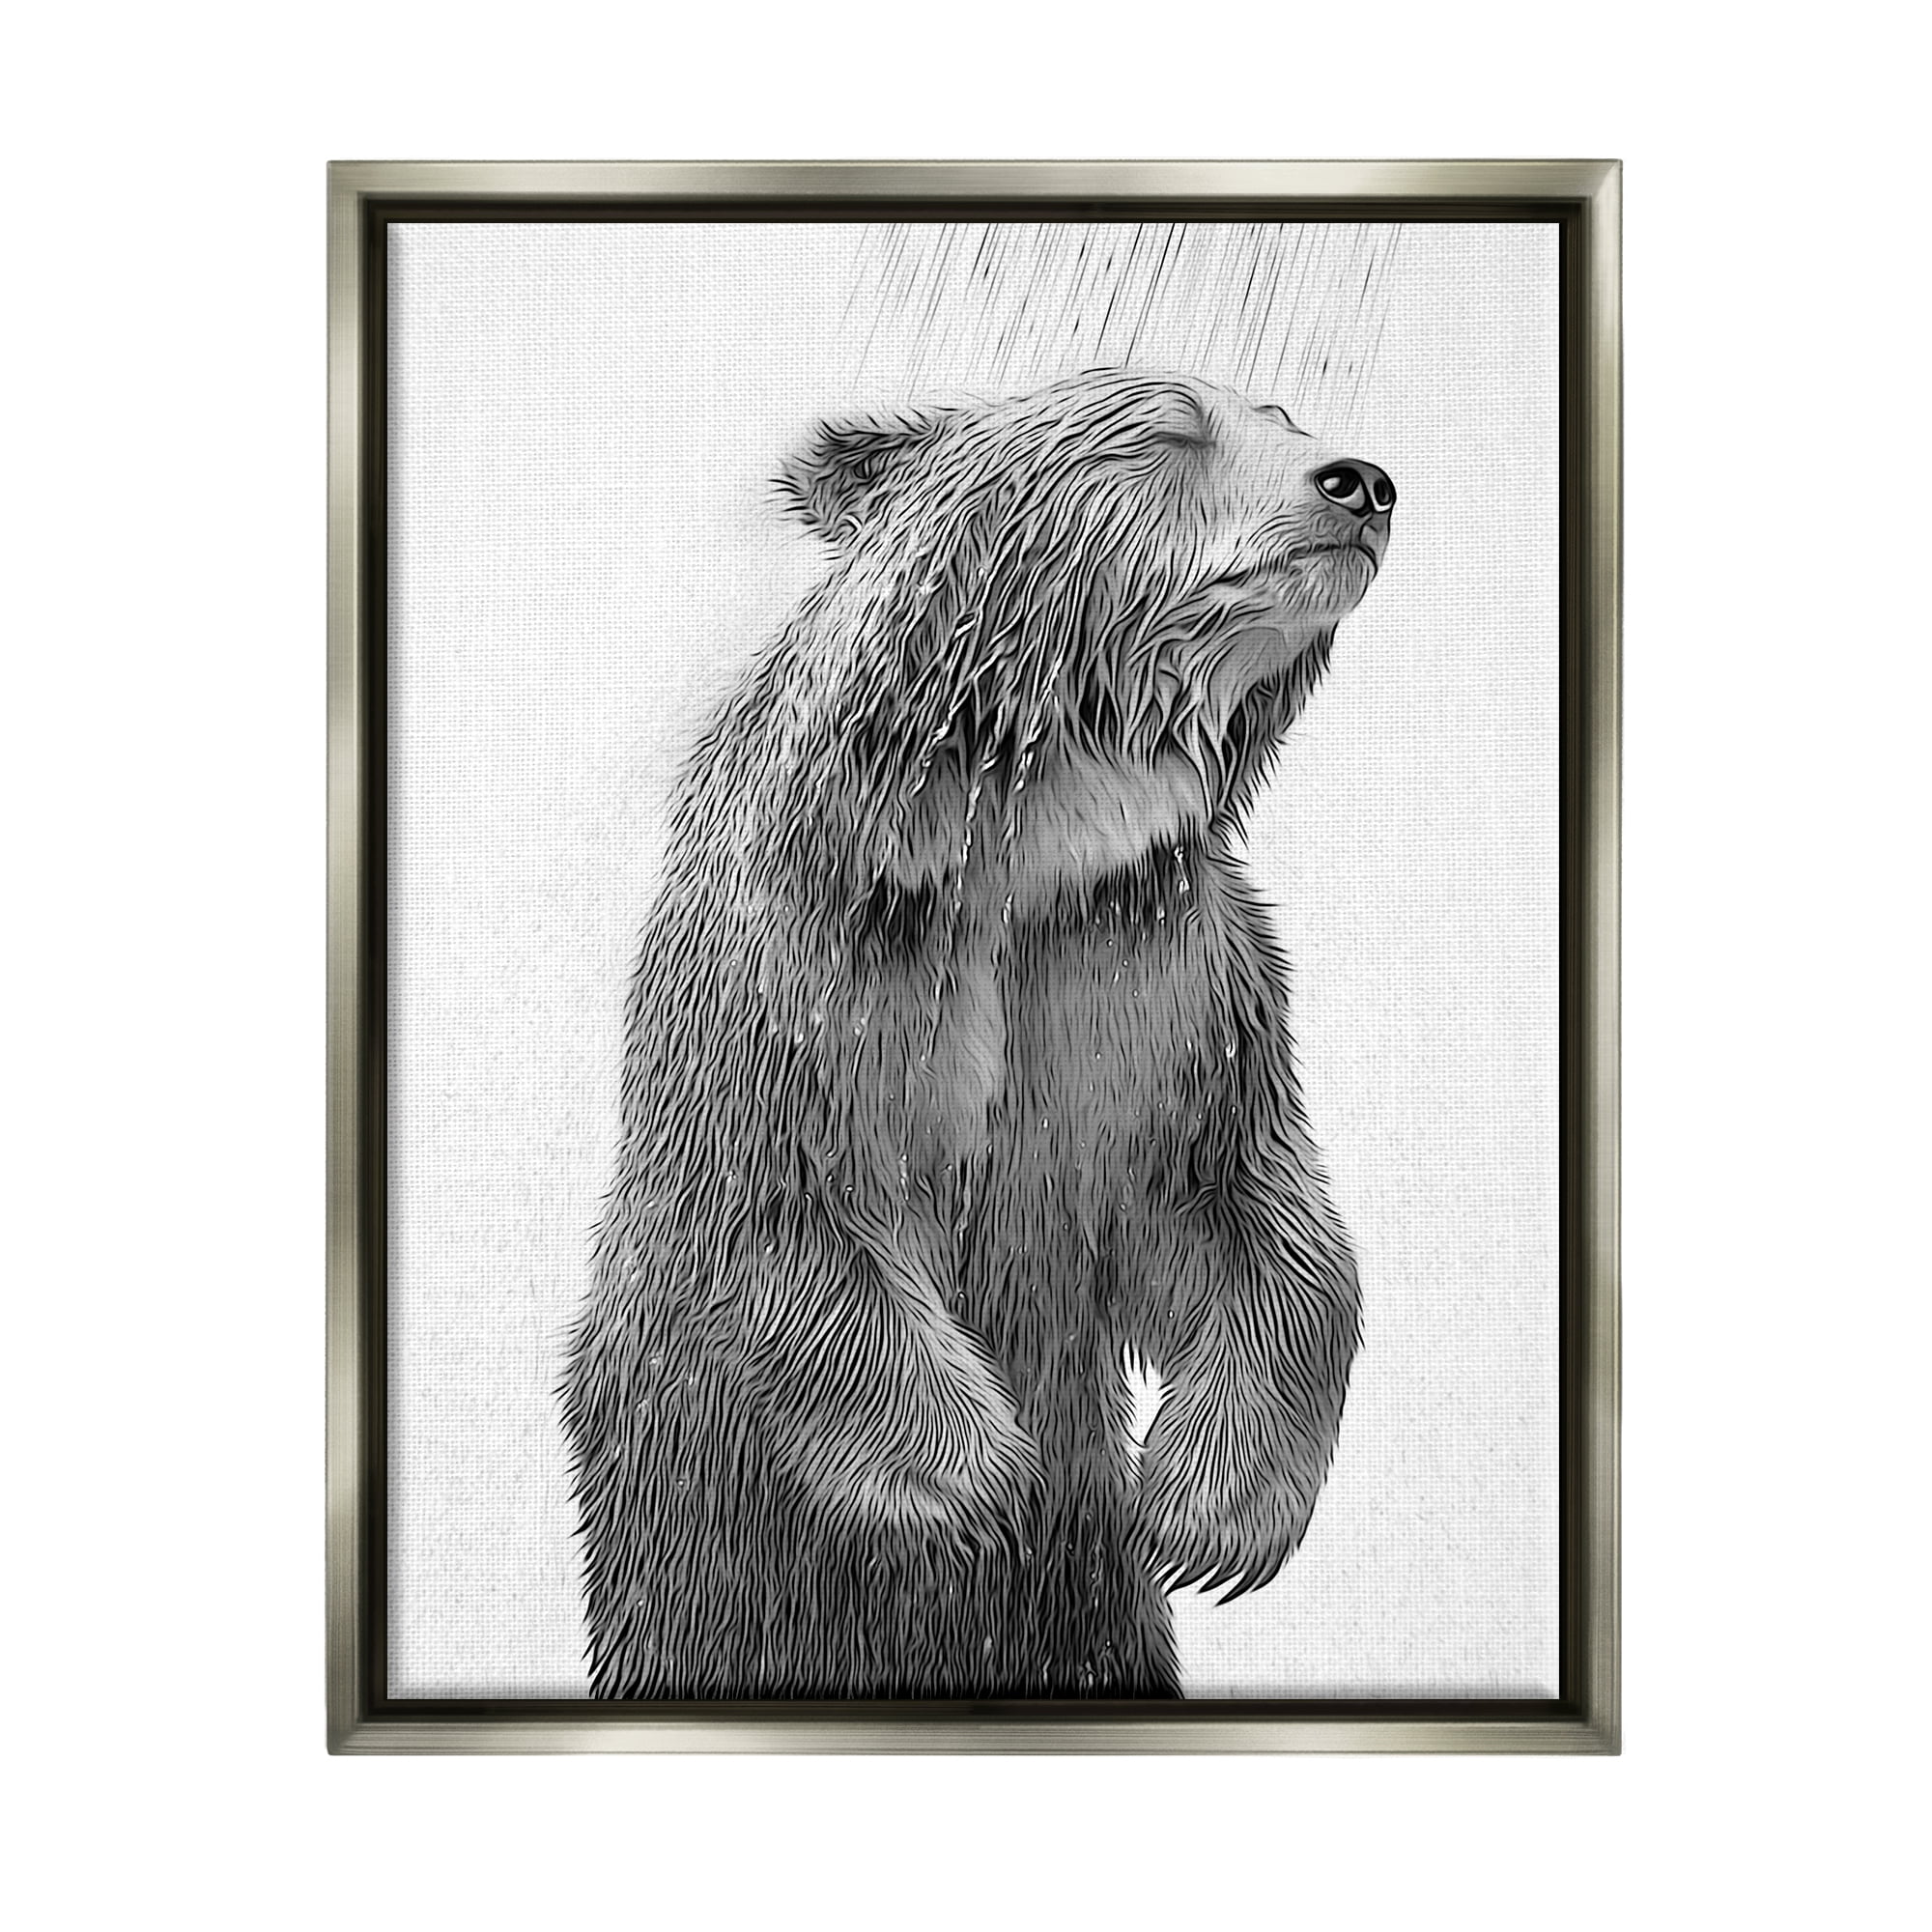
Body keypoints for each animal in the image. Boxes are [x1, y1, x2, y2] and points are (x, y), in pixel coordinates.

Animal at [561, 368, 1396, 1699]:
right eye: (1168, 429)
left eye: (1284, 419)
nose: (1359, 482)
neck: (1028, 840)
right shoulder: (821, 956)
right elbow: (783, 1196)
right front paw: (974, 1487)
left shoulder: (1156, 967)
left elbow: (1241, 1203)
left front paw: (1204, 1514)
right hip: (691, 1549)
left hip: (1090, 1621)